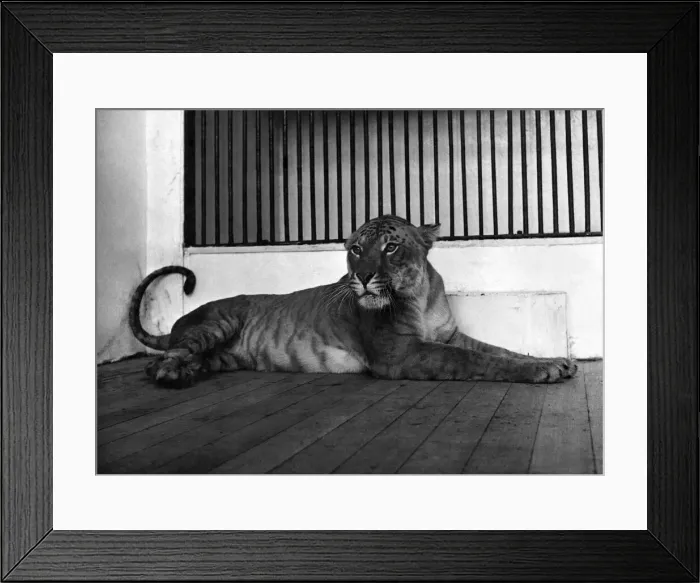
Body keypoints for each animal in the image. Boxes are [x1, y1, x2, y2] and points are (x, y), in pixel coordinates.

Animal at [129, 215, 577, 388]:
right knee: (165, 358)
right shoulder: (397, 353)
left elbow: (499, 350)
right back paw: (172, 374)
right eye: (357, 249)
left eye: (391, 247)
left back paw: (189, 371)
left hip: (226, 356)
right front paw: (543, 371)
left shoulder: (449, 336)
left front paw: (555, 361)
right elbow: (477, 361)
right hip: (218, 322)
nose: (361, 277)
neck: (419, 296)